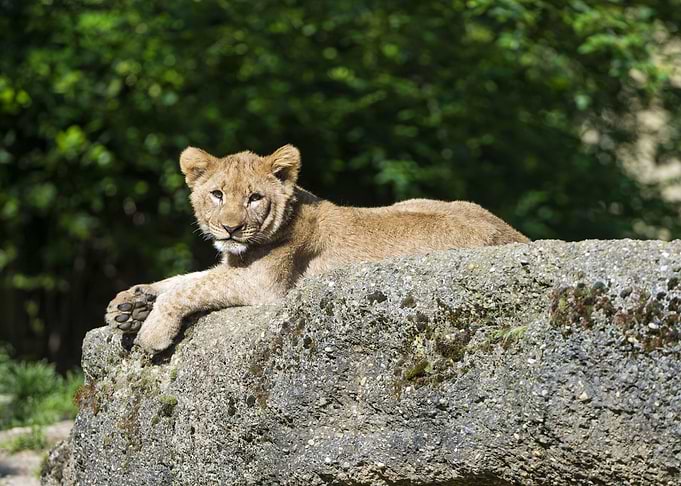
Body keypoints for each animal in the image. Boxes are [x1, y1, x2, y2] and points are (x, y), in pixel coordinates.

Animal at [106, 145, 529, 352]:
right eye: (217, 194)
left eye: (255, 198)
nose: (231, 228)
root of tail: (517, 236)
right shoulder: (232, 265)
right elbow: (183, 278)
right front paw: (128, 305)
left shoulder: (265, 286)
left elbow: (189, 288)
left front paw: (152, 330)